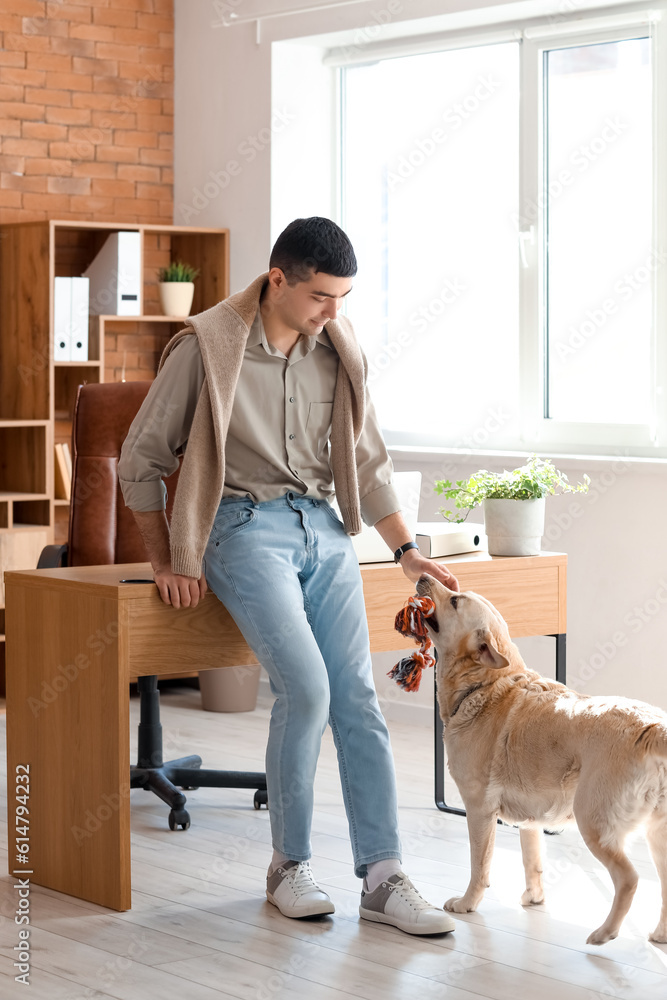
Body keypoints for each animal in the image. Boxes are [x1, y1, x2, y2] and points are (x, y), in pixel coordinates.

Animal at [418, 576, 667, 940]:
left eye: (455, 601)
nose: (424, 577)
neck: (484, 686)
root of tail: (652, 727)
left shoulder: (479, 809)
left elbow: (480, 865)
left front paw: (467, 904)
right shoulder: (530, 818)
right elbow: (531, 860)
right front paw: (534, 899)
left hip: (593, 821)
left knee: (629, 879)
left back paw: (604, 933)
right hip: (657, 834)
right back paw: (661, 934)